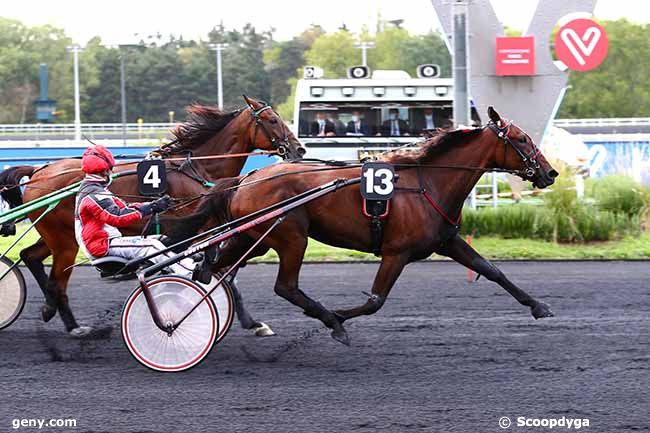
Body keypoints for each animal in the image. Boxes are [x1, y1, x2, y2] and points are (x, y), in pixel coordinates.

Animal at [0, 96, 304, 336]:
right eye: (272, 120)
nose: (299, 148)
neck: (197, 169)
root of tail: (39, 171)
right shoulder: (195, 229)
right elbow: (216, 269)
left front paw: (250, 322)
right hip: (64, 240)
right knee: (56, 278)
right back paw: (72, 324)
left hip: (57, 234)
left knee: (30, 256)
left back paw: (50, 308)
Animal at [168, 107, 556, 344]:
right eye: (522, 139)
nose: (550, 173)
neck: (428, 181)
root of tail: (248, 178)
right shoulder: (396, 252)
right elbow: (375, 301)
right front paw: (339, 316)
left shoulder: (447, 240)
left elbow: (490, 270)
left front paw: (538, 306)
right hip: (291, 236)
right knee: (283, 286)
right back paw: (330, 320)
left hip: (254, 237)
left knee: (211, 271)